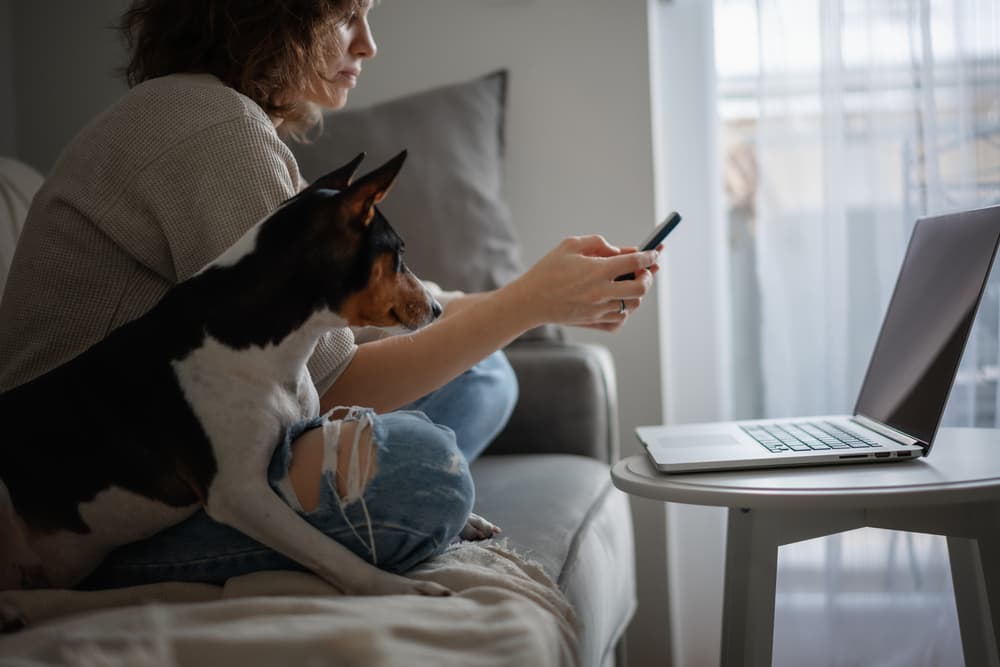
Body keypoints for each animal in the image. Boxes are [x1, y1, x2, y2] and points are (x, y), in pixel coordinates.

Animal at [0, 151, 500, 632]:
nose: (437, 308)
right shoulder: (238, 491)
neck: (273, 345)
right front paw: (392, 587)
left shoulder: (299, 431)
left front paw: (470, 522)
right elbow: (327, 547)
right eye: (398, 253)